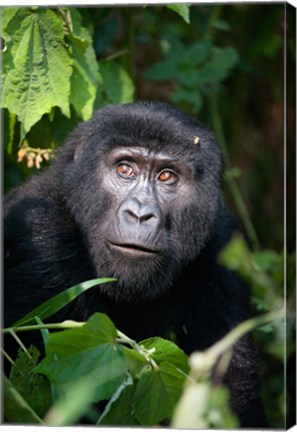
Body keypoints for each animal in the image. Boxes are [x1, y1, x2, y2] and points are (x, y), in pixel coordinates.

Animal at [2, 100, 266, 426]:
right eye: (124, 169)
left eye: (166, 176)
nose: (140, 214)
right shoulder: (39, 234)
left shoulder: (222, 244)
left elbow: (233, 392)